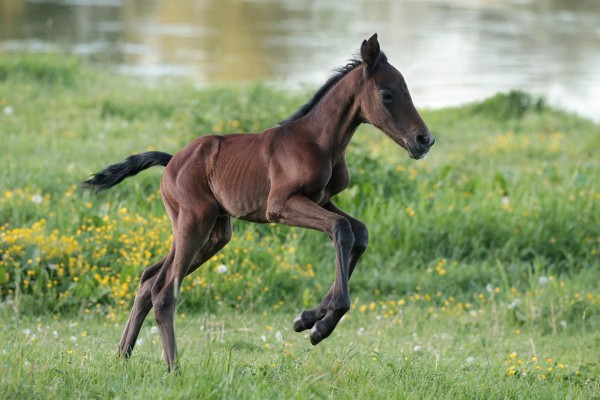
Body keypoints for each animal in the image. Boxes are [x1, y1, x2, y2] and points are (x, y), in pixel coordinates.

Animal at [82, 34, 434, 368]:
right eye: (386, 94)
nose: (424, 140)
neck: (319, 141)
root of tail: (171, 162)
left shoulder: (321, 199)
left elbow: (358, 231)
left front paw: (309, 320)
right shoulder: (280, 205)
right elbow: (341, 230)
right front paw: (321, 324)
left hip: (213, 232)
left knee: (148, 279)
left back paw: (123, 356)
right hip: (194, 223)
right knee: (164, 289)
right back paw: (173, 368)